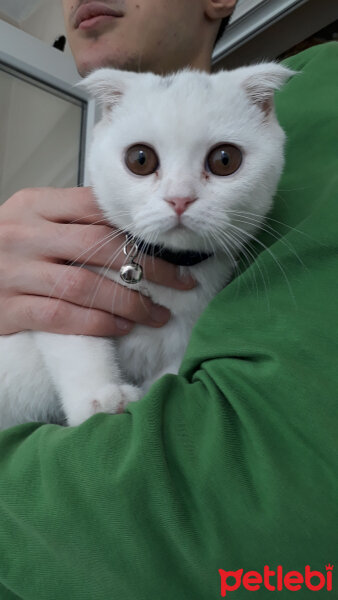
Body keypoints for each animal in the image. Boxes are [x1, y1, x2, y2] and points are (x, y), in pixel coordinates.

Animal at [0, 64, 292, 426]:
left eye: (225, 159)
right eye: (140, 159)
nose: (180, 198)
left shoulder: (184, 335)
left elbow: (170, 377)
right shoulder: (62, 291)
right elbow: (75, 340)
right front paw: (100, 396)